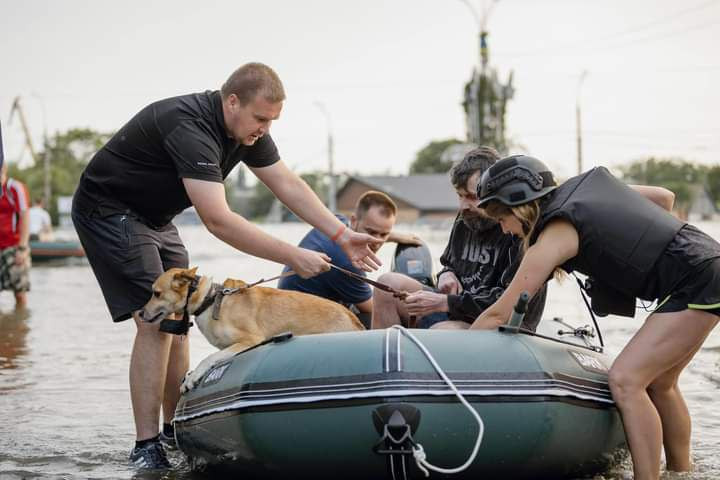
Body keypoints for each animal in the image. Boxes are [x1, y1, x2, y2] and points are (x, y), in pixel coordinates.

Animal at [141, 266, 366, 394]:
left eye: (156, 293)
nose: (141, 313)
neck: (210, 300)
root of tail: (355, 321)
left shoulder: (250, 340)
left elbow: (209, 359)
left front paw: (193, 377)